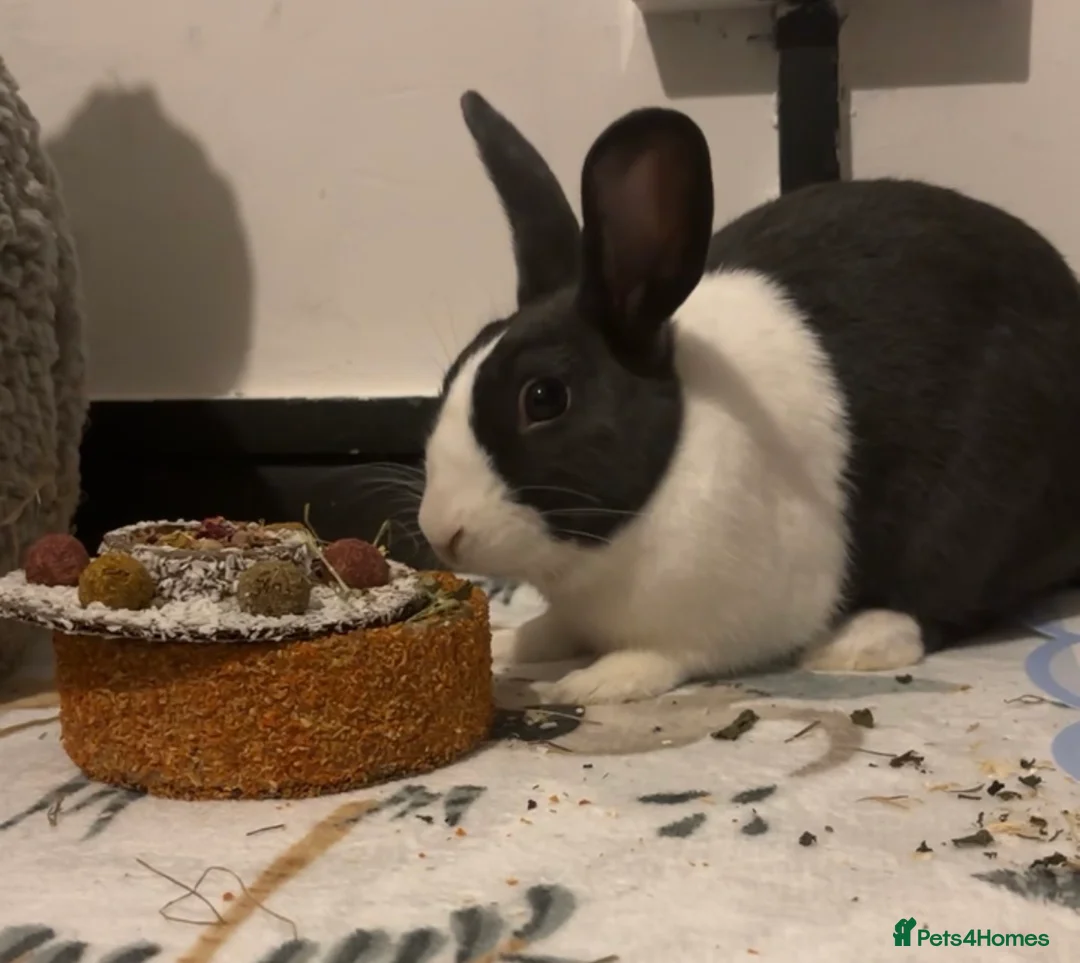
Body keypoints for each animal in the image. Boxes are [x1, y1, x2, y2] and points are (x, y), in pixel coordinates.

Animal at [417, 89, 1080, 706]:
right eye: (451, 373)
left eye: (544, 397)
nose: (440, 532)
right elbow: (553, 629)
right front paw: (514, 643)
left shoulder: (716, 621)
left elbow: (662, 656)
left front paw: (593, 683)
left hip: (987, 497)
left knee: (950, 596)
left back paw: (855, 642)